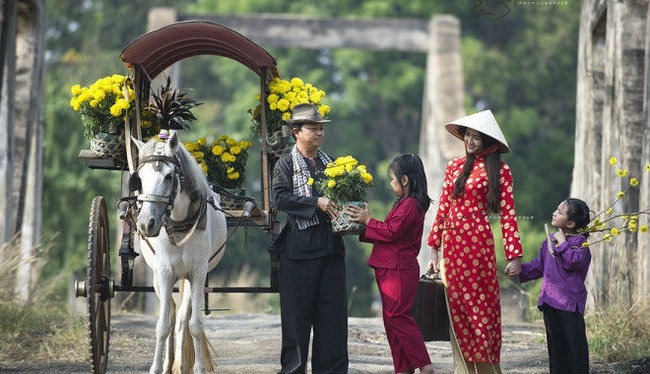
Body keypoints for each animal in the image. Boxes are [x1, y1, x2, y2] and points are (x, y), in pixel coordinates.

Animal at [130, 133, 227, 372]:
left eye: (168, 176)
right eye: (140, 178)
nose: (146, 223)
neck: (180, 225)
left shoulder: (198, 273)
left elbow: (194, 324)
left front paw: (198, 368)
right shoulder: (164, 273)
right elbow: (163, 325)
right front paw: (156, 367)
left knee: (182, 317)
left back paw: (180, 365)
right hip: (158, 277)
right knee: (172, 313)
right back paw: (168, 363)